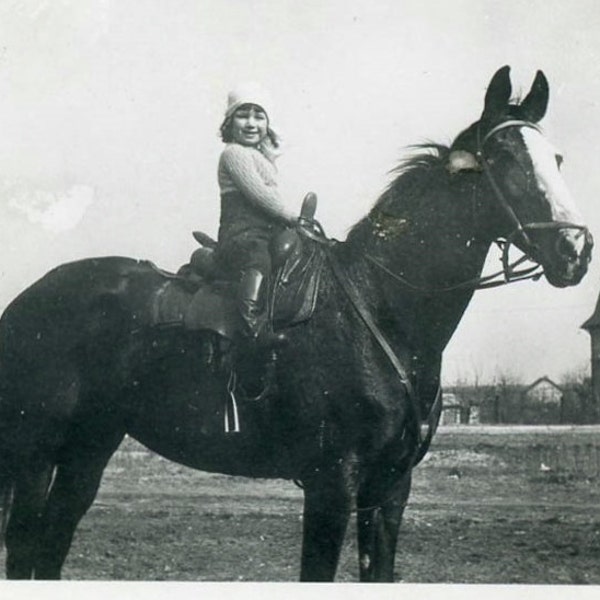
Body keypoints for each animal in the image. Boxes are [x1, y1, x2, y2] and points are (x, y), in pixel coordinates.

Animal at [0, 67, 592, 580]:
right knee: (25, 546)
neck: (380, 310)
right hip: (36, 452)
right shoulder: (332, 485)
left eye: (558, 158)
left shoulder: (389, 489)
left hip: (89, 447)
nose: (575, 250)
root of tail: (26, 301)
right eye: (505, 156)